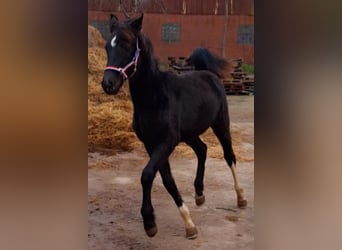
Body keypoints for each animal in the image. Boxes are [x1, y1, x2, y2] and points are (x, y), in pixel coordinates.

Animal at [100, 12, 247, 239]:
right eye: (108, 46)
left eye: (128, 45)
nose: (108, 84)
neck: (154, 98)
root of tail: (209, 74)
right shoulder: (152, 144)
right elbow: (166, 179)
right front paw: (186, 223)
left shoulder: (166, 142)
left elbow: (147, 175)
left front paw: (150, 222)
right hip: (189, 134)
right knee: (202, 149)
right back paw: (199, 193)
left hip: (221, 124)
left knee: (229, 156)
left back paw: (240, 197)